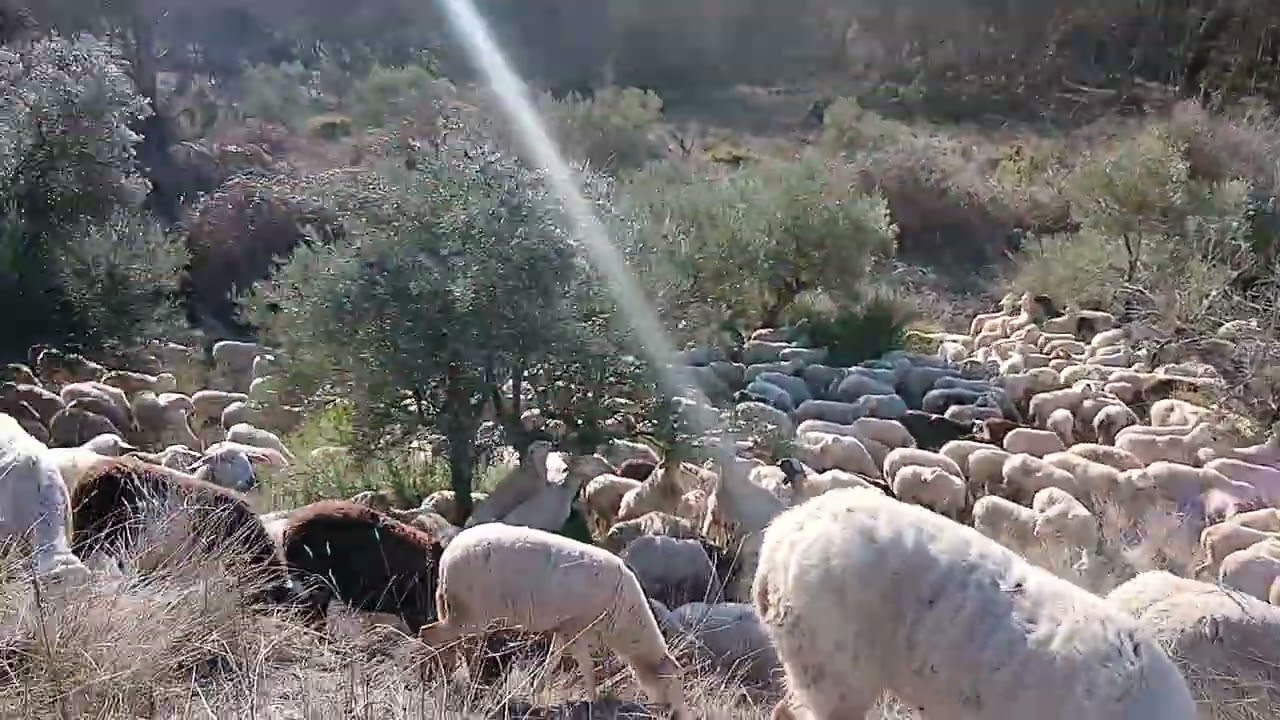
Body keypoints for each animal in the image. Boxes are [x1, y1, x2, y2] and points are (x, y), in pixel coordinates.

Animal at [418, 523, 687, 715]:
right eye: (672, 683)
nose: (678, 714)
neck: (625, 622)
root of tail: (446, 558)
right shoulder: (576, 627)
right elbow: (585, 666)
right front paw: (594, 699)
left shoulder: (564, 628)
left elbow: (554, 661)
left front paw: (538, 692)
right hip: (469, 612)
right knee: (428, 634)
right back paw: (430, 680)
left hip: (458, 610)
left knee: (446, 642)